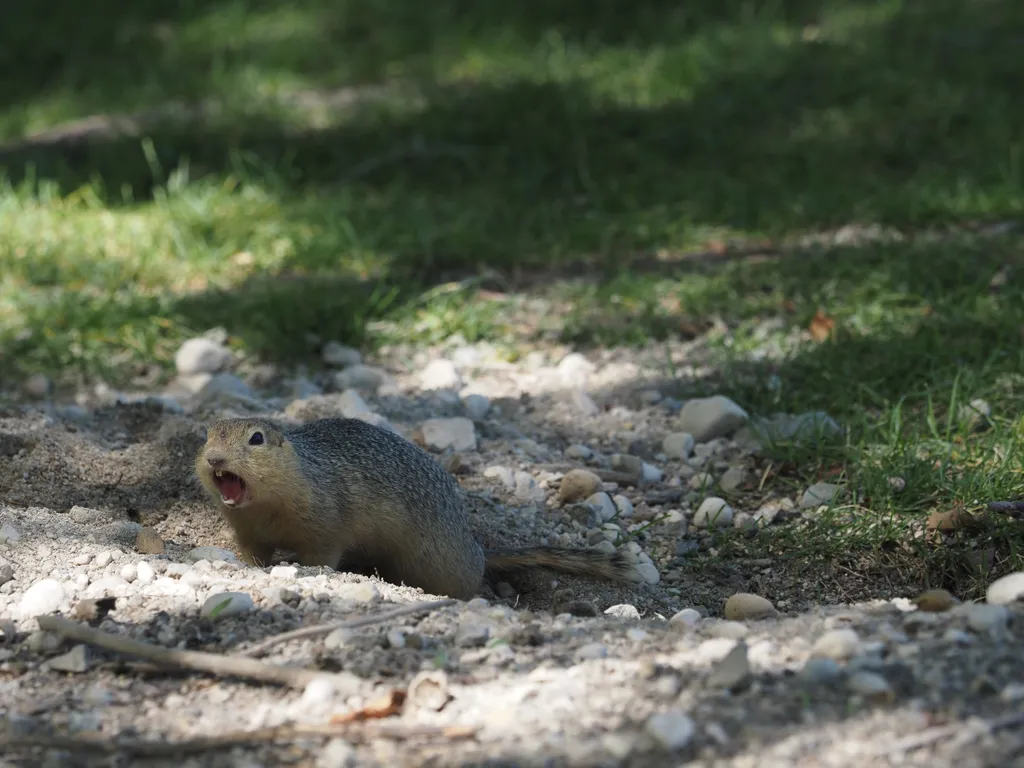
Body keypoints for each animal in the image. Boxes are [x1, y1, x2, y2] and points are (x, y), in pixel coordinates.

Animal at [193, 415, 638, 602]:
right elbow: (253, 554)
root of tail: (478, 551)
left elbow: (322, 556)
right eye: (208, 434)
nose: (214, 458)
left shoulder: (325, 527)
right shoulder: (248, 531)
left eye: (256, 439)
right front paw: (247, 568)